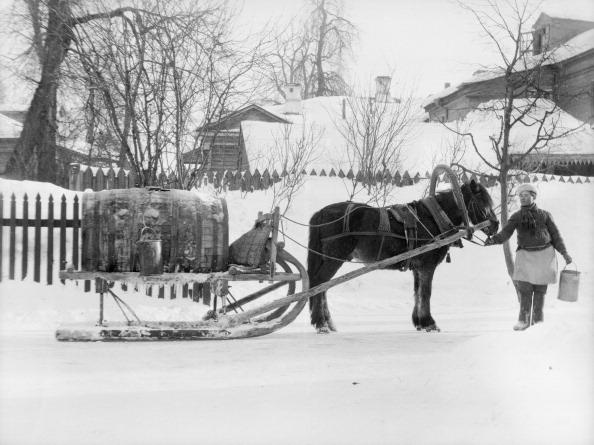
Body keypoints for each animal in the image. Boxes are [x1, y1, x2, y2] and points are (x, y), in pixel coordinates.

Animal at [308, 179, 498, 332]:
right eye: (482, 201)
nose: (496, 224)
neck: (433, 218)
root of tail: (321, 212)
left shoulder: (417, 267)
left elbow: (417, 291)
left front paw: (419, 322)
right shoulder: (427, 265)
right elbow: (426, 292)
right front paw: (430, 323)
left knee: (323, 286)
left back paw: (328, 323)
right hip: (333, 258)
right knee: (320, 283)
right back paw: (321, 324)